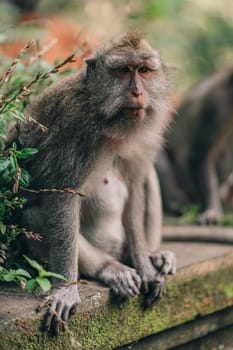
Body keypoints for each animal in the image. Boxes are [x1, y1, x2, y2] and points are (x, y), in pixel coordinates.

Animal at [16, 32, 176, 334]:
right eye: (123, 71)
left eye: (144, 70)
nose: (138, 93)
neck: (108, 121)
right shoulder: (73, 130)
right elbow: (63, 199)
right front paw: (66, 289)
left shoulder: (145, 135)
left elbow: (136, 187)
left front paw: (146, 265)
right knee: (32, 216)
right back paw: (110, 269)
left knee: (147, 177)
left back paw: (153, 256)